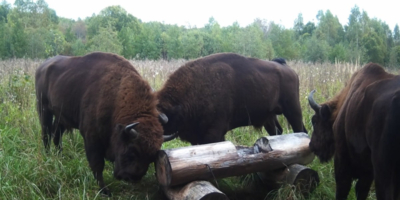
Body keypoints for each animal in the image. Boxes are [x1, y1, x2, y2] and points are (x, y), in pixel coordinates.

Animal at [35, 51, 176, 195]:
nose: (131, 178)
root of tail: (42, 67)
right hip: (44, 109)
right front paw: (105, 190)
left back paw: (60, 157)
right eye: (131, 152)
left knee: (57, 135)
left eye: (152, 157)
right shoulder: (92, 139)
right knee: (46, 133)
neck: (117, 96)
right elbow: (97, 164)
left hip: (61, 117)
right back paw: (48, 156)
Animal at [156, 52, 306, 145]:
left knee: (301, 130)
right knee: (277, 132)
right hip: (269, 117)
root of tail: (287, 68)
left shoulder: (214, 133)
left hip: (292, 109)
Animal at [310, 63, 400, 200]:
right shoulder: (367, 172)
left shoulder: (342, 160)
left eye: (314, 121)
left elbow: (343, 189)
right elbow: (361, 190)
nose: (311, 146)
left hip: (383, 172)